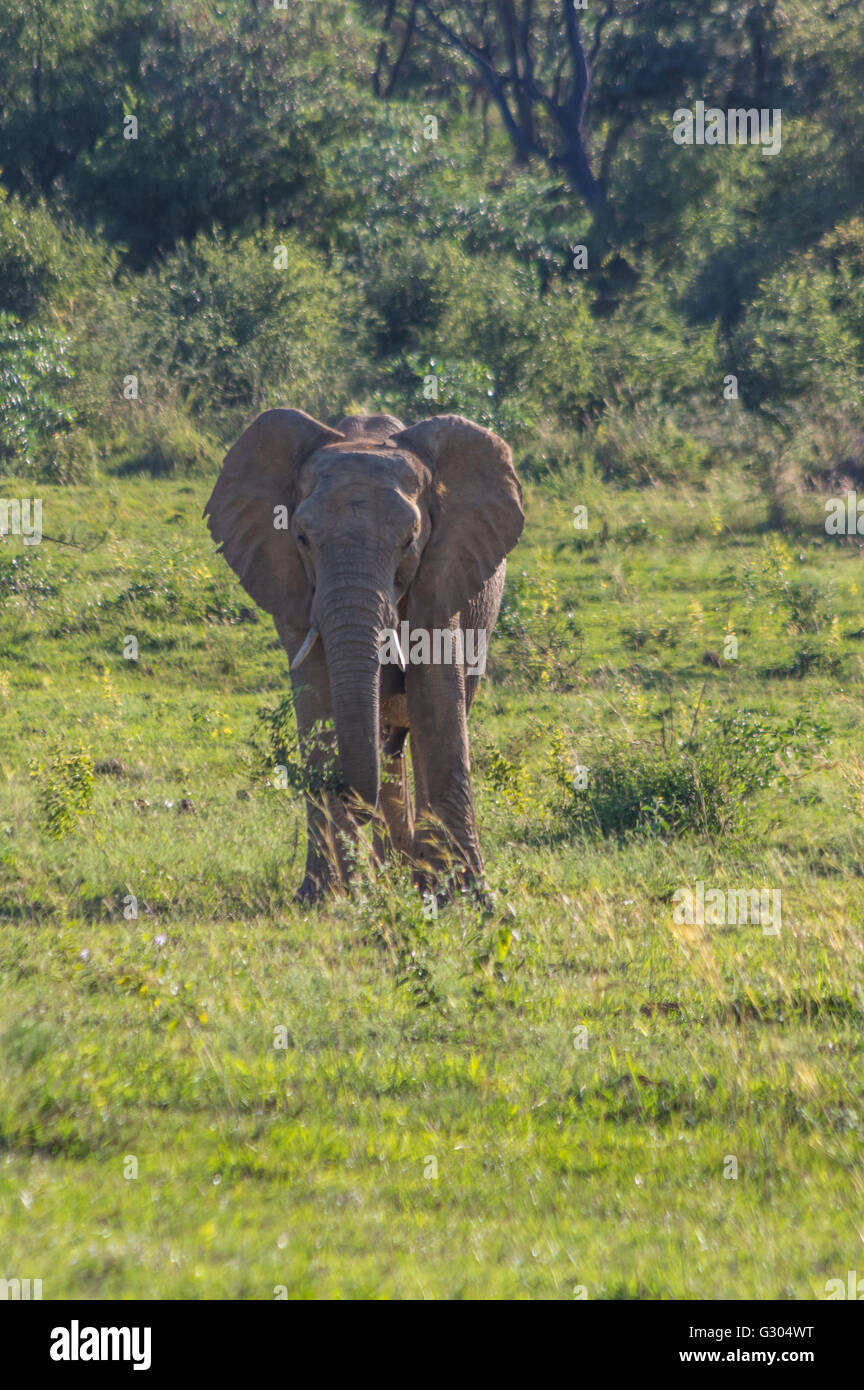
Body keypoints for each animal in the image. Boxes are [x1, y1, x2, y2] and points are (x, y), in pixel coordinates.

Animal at [205, 405, 525, 900]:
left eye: (410, 540)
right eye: (301, 538)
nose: (353, 798)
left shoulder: (443, 573)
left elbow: (437, 703)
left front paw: (469, 900)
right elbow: (318, 701)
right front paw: (327, 896)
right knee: (388, 744)